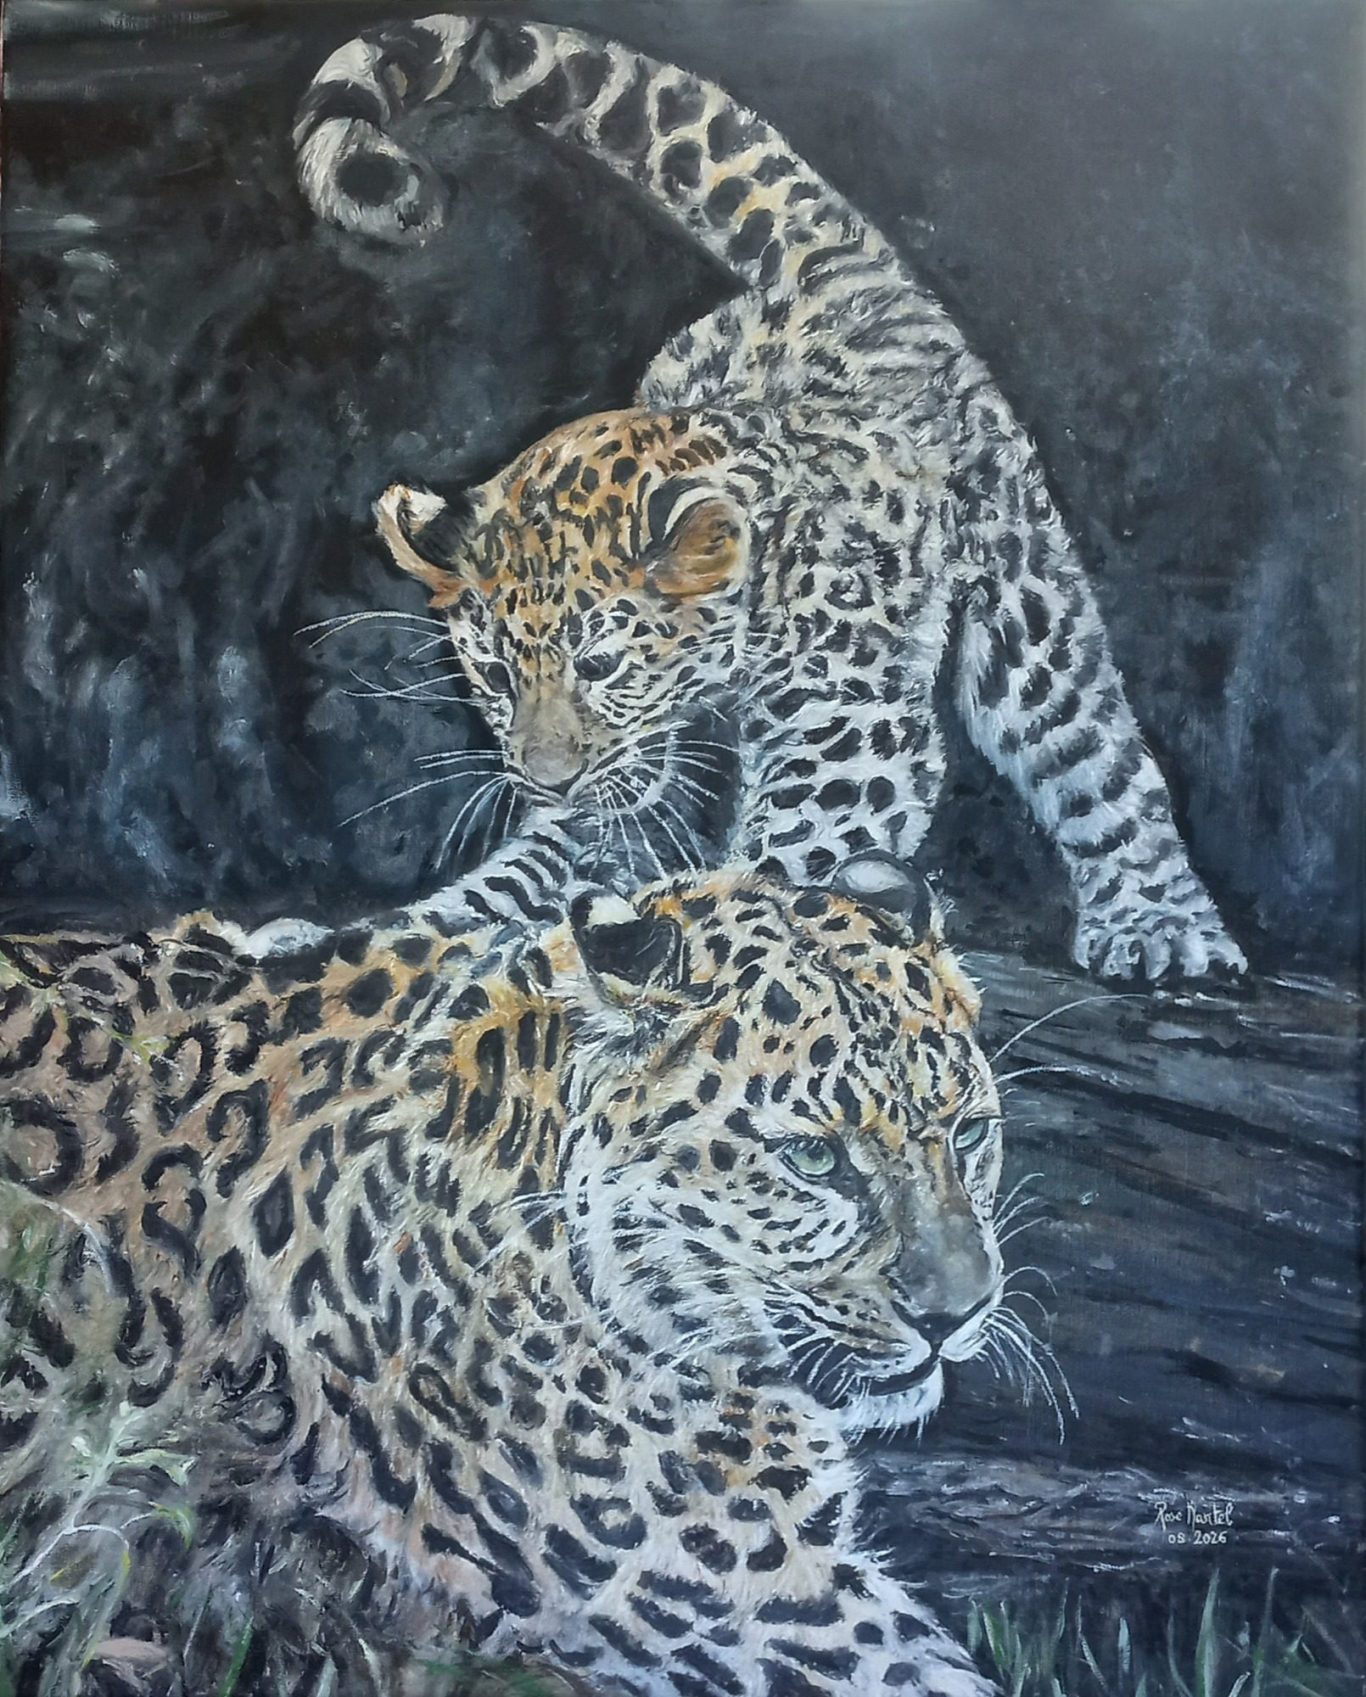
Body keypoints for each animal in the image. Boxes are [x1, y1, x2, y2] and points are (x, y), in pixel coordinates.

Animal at [282, 13, 1247, 985]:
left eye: (601, 663)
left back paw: (1162, 921)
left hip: (1019, 579)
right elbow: (515, 883)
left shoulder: (847, 723)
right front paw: (343, 946)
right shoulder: (631, 778)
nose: (546, 778)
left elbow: (788, 854)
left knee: (1085, 740)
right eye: (490, 673)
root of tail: (828, 272)